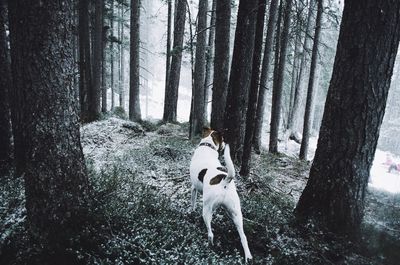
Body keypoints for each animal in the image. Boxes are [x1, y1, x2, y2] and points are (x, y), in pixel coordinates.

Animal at [189, 127, 252, 260]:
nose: (225, 143)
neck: (207, 145)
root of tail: (225, 181)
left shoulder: (193, 188)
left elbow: (192, 203)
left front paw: (191, 212)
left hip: (207, 210)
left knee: (210, 233)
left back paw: (209, 245)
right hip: (236, 214)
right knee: (243, 237)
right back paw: (248, 257)